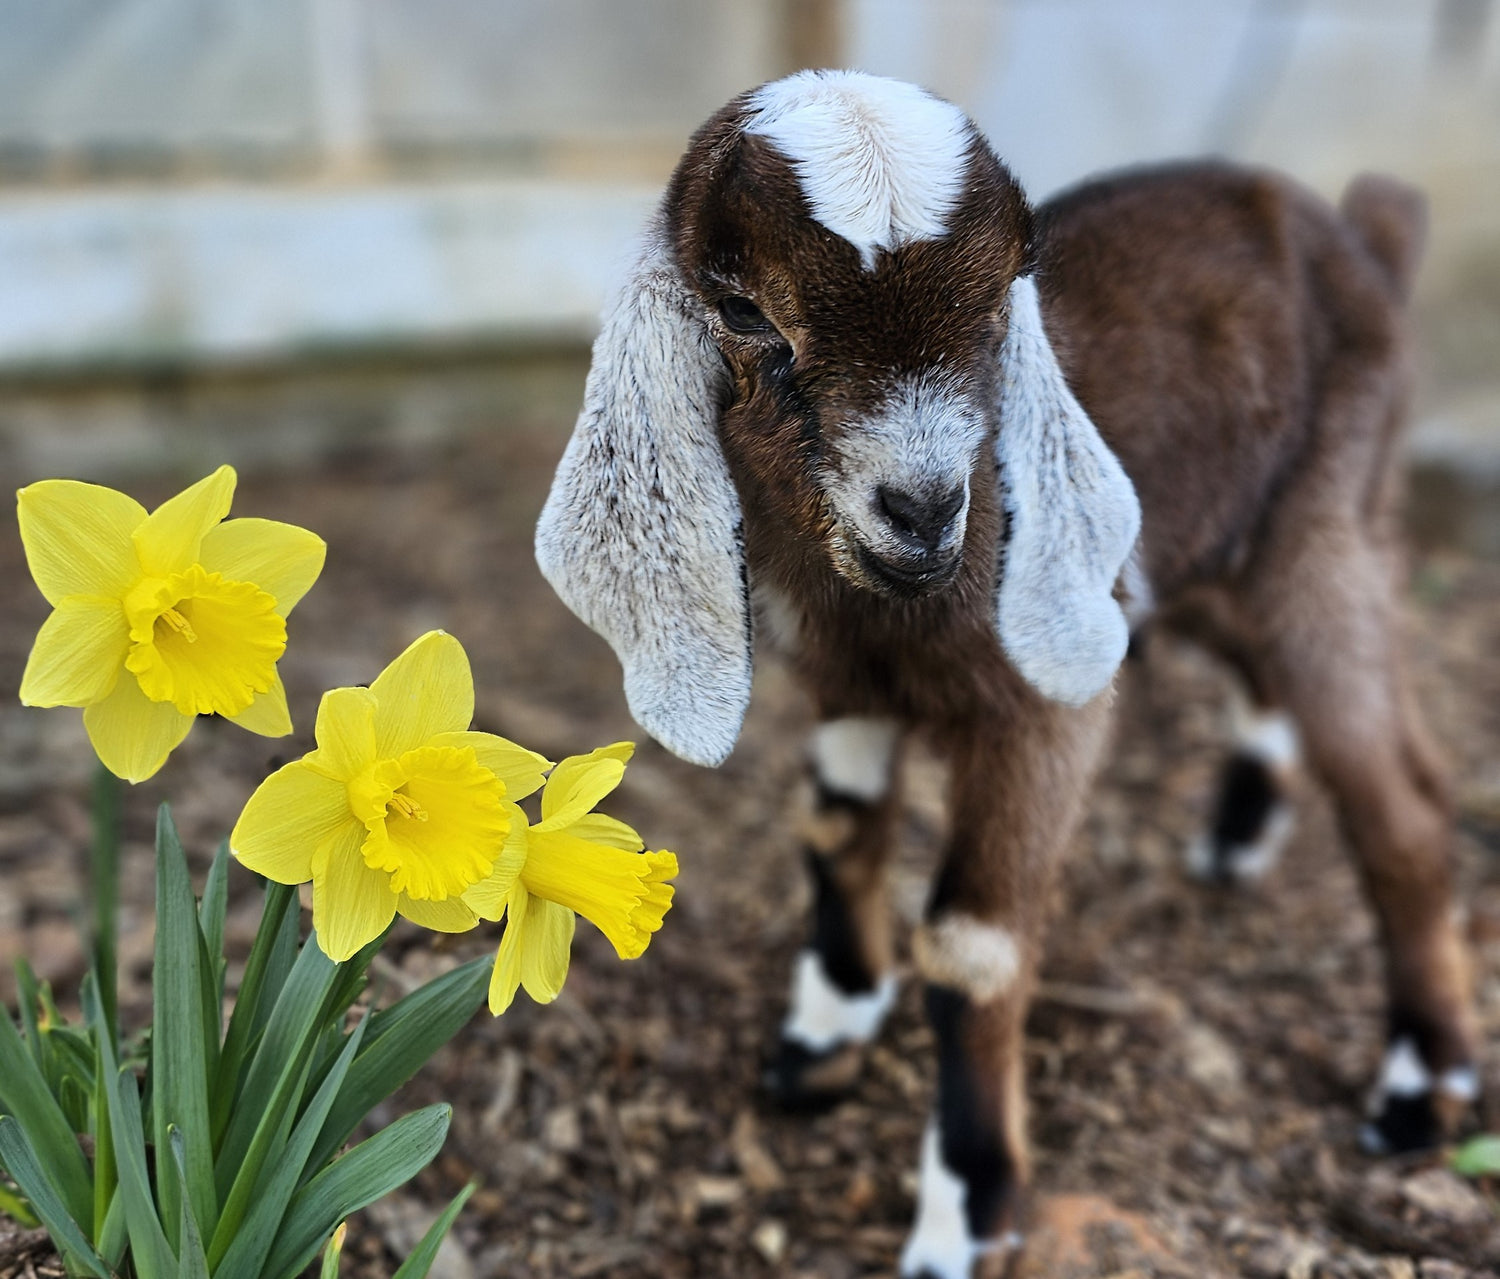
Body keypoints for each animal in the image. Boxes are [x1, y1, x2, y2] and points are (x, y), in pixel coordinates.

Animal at [535, 70, 1479, 1279]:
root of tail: (1363, 236)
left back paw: (1420, 1086)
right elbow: (836, 829)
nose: (925, 508)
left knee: (1400, 801)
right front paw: (825, 1034)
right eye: (743, 310)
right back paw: (1239, 833)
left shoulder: (1043, 708)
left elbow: (972, 949)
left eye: (1005, 292)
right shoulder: (848, 682)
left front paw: (965, 1211)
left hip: (1324, 523)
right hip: (1216, 557)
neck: (889, 616)